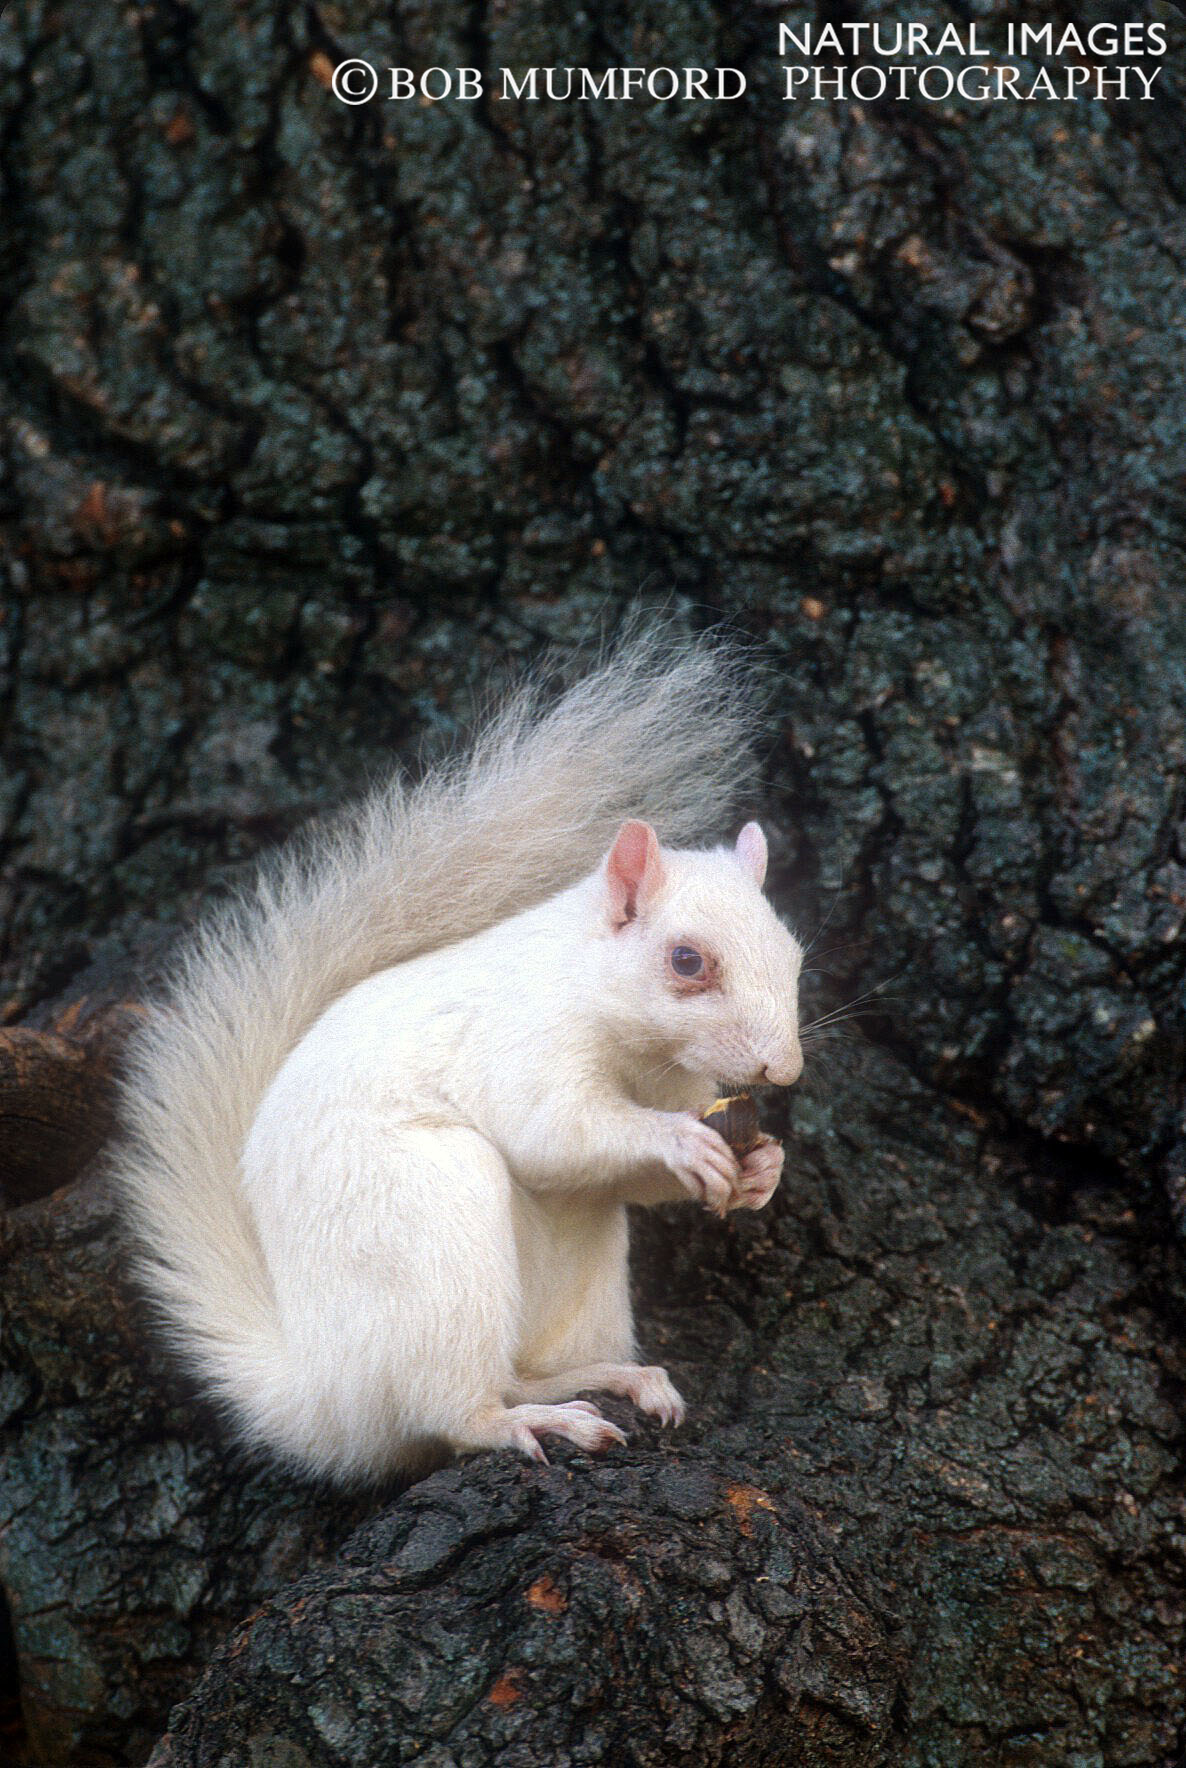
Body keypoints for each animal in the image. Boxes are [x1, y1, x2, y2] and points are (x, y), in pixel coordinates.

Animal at [114, 625, 804, 1484]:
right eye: (687, 961)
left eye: (794, 953)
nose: (784, 1070)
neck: (632, 1043)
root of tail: (323, 1392)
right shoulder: (522, 1042)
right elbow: (554, 1133)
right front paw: (679, 1142)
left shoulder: (679, 1085)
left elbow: (632, 1184)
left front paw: (763, 1169)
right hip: (435, 1231)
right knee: (455, 1413)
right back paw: (532, 1423)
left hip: (580, 1281)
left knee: (519, 1370)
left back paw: (614, 1378)